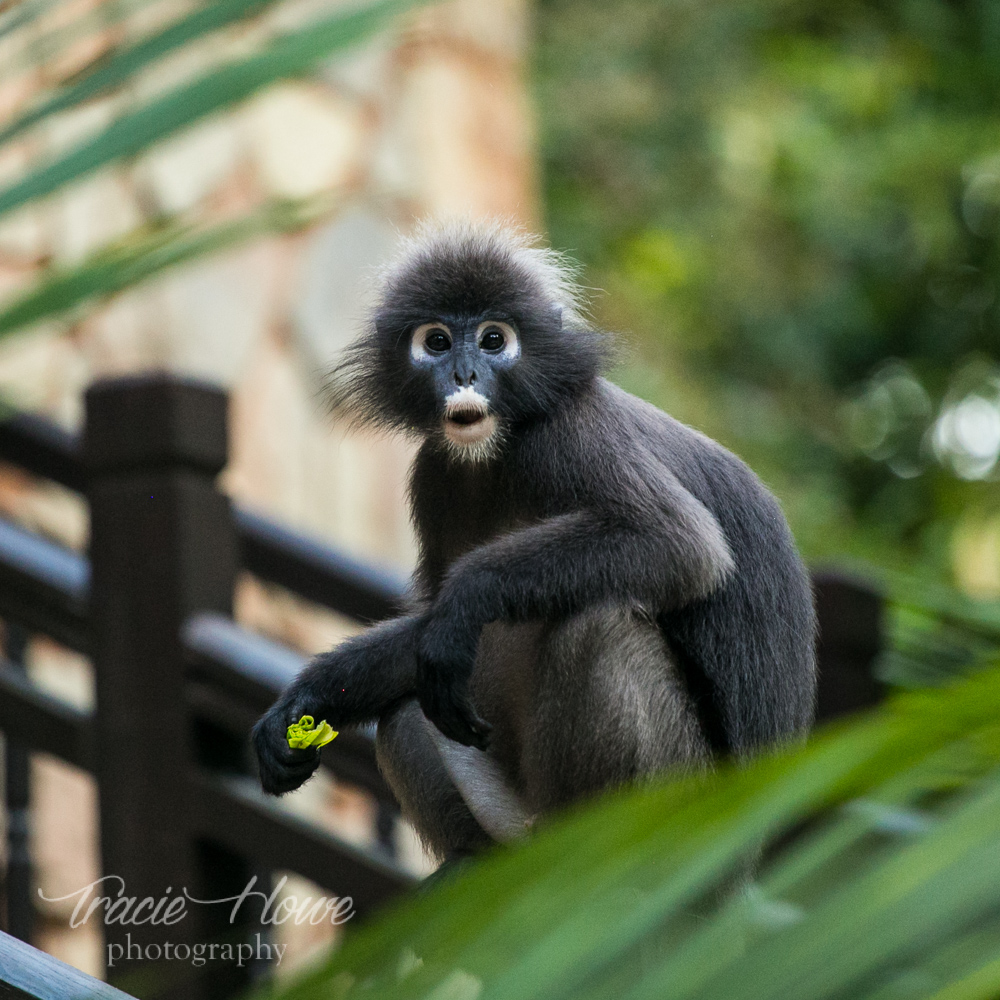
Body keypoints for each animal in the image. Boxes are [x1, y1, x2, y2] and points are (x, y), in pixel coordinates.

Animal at [248, 219, 812, 860]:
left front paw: (466, 599)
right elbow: (426, 629)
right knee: (405, 710)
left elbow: (679, 543)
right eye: (437, 342)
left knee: (600, 627)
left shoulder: (572, 431)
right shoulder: (434, 473)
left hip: (683, 799)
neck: (500, 450)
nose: (464, 375)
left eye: (494, 340)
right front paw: (311, 698)